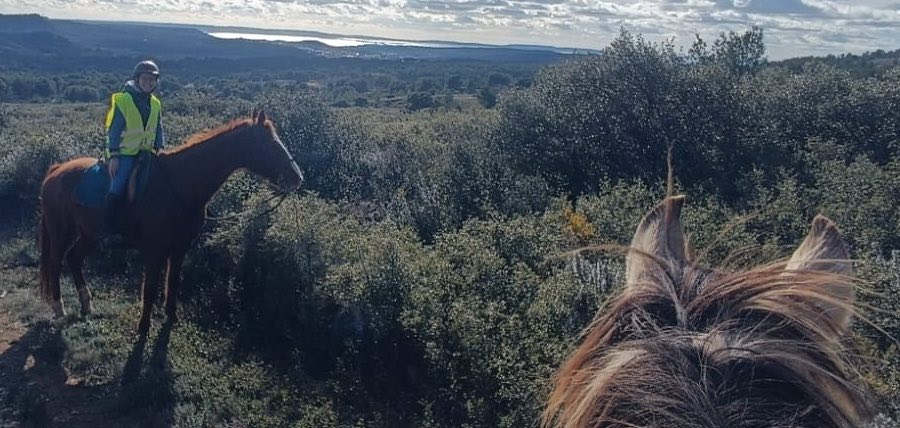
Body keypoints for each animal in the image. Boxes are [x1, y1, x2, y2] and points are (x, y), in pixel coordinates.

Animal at [38, 111, 303, 335]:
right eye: (269, 144)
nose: (296, 177)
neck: (181, 184)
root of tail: (56, 170)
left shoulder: (180, 247)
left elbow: (173, 282)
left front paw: (170, 317)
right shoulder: (155, 250)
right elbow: (150, 289)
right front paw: (143, 327)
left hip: (89, 234)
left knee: (74, 258)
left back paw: (86, 305)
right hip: (61, 231)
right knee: (56, 263)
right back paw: (59, 309)